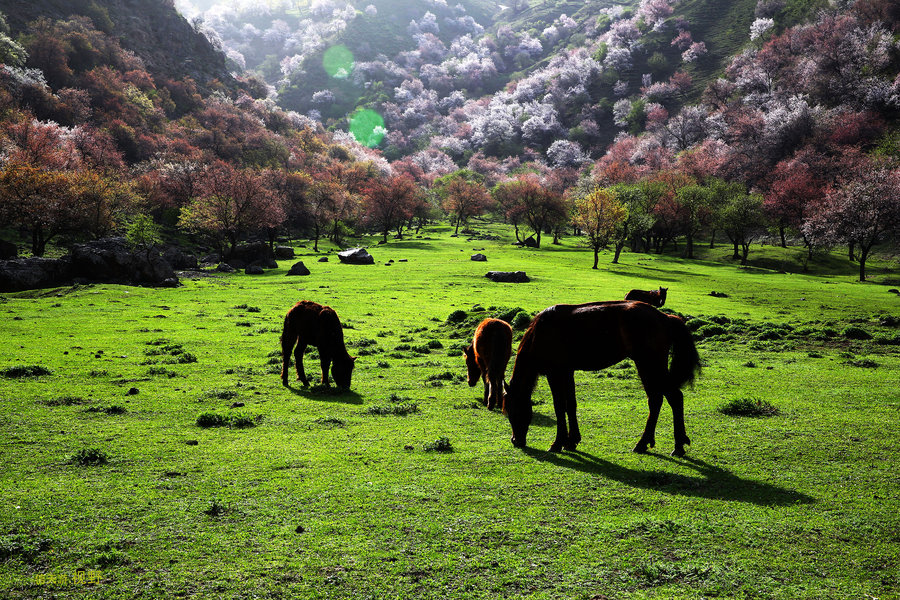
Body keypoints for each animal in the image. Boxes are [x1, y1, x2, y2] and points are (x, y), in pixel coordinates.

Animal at [502, 302, 700, 458]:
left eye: (512, 411)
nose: (515, 441)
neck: (542, 333)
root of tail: (664, 317)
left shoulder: (555, 373)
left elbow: (559, 407)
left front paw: (557, 443)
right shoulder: (567, 372)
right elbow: (570, 405)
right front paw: (571, 441)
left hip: (649, 365)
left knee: (673, 397)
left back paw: (675, 446)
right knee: (657, 400)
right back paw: (646, 443)